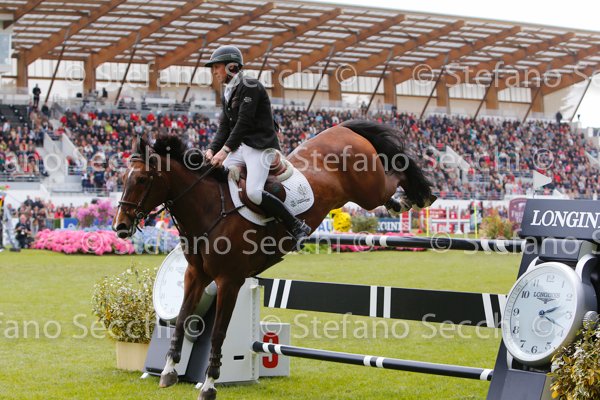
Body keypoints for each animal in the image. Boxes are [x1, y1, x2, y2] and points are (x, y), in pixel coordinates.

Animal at [112, 120, 436, 400]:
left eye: (142, 179)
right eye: (123, 178)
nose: (120, 227)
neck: (209, 208)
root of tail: (342, 128)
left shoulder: (229, 281)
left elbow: (218, 334)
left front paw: (209, 384)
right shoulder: (195, 275)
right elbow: (180, 319)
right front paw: (168, 371)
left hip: (369, 190)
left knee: (397, 172)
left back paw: (419, 195)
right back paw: (401, 201)